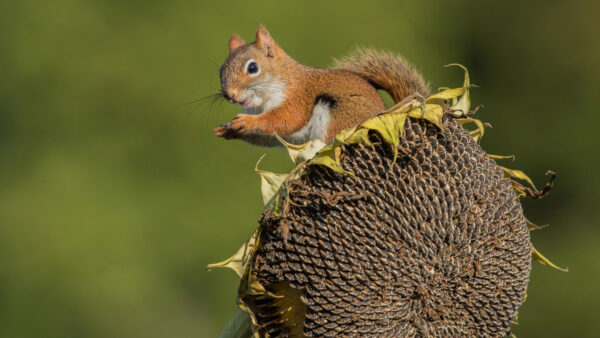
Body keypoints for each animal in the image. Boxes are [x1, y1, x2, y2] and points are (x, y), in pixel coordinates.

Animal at [213, 25, 428, 147]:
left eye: (252, 68)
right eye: (221, 70)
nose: (229, 95)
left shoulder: (297, 97)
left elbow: (287, 119)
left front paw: (247, 121)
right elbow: (270, 137)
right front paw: (227, 130)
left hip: (340, 117)